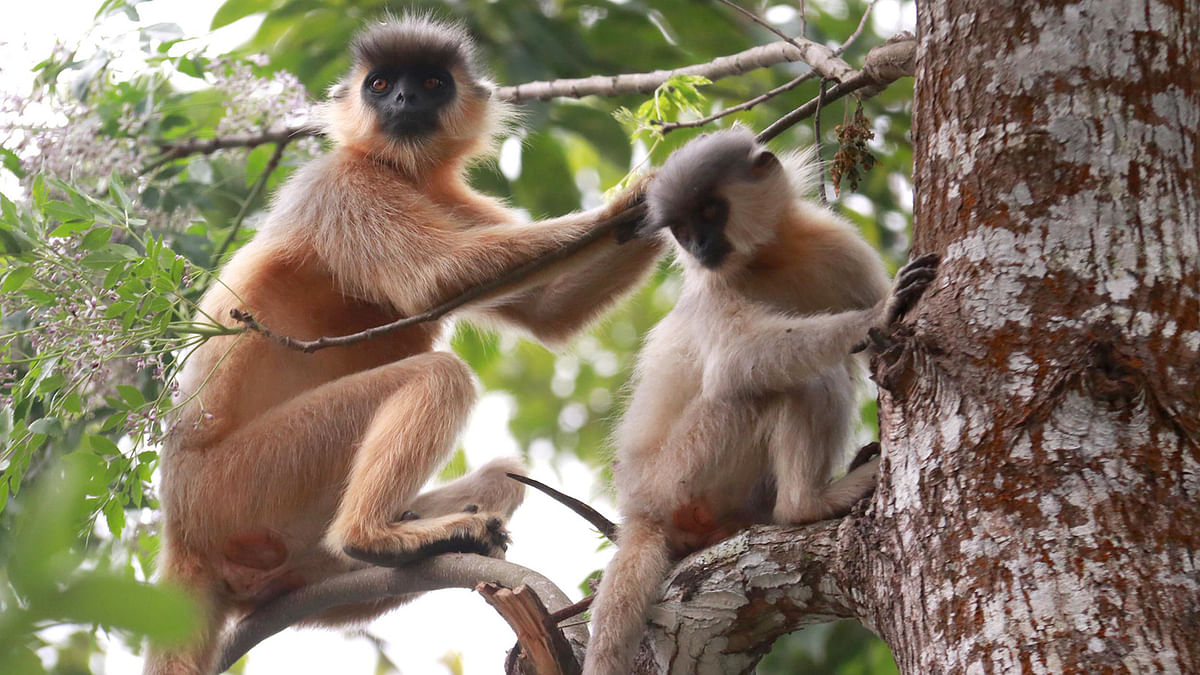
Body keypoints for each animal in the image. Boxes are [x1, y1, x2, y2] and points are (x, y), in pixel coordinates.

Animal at [147, 15, 667, 672]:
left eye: (430, 82)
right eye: (380, 83)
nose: (402, 100)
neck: (401, 172)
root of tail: (179, 531)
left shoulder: (453, 199)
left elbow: (549, 312)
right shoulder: (340, 185)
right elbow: (436, 279)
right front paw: (643, 194)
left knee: (502, 474)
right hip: (239, 482)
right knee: (437, 375)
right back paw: (375, 538)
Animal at [580, 127, 936, 672]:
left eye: (709, 212)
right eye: (681, 228)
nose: (698, 246)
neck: (768, 255)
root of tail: (639, 509)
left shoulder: (839, 246)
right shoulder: (710, 287)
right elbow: (735, 360)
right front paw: (879, 313)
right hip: (683, 473)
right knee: (804, 379)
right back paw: (807, 504)